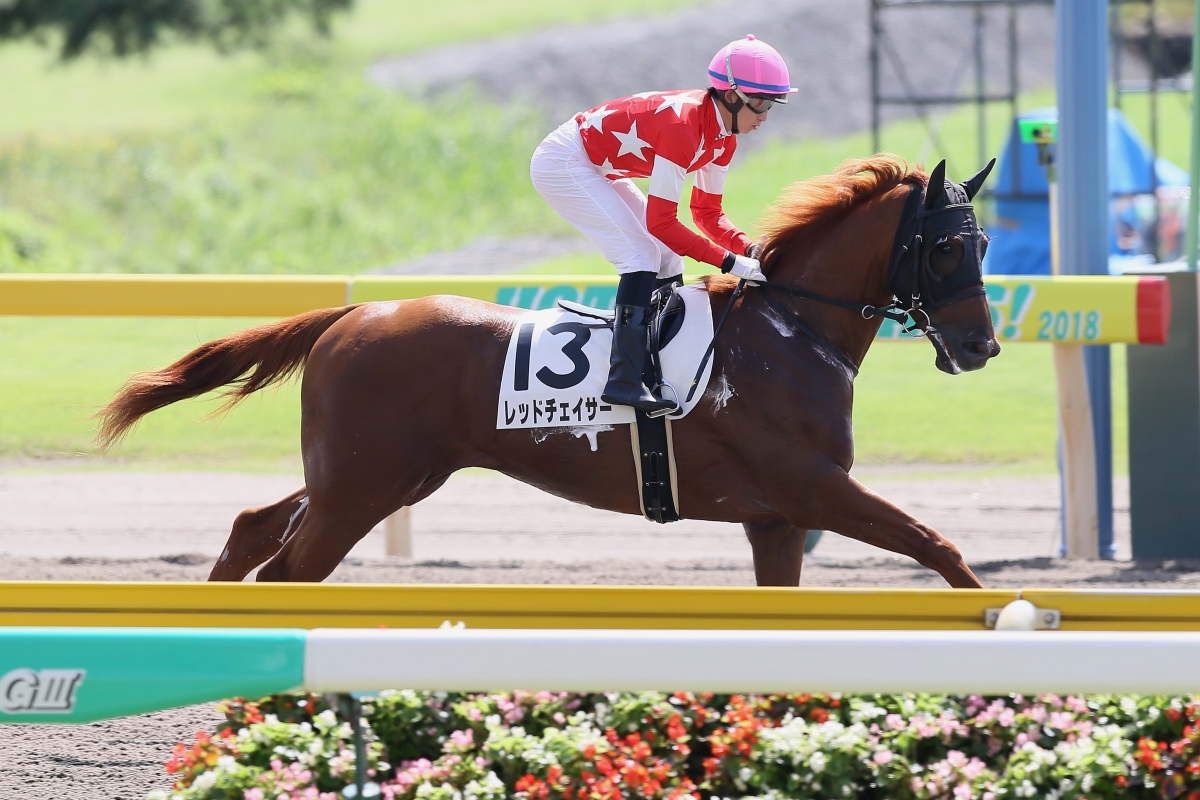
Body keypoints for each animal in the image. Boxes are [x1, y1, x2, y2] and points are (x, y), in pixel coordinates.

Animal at [97, 154, 1000, 587]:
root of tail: (350, 315)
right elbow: (942, 547)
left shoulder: (775, 519)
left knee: (257, 526)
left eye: (985, 242)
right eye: (946, 247)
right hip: (362, 486)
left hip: (377, 475)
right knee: (288, 568)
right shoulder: (812, 488)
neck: (791, 327)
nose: (981, 347)